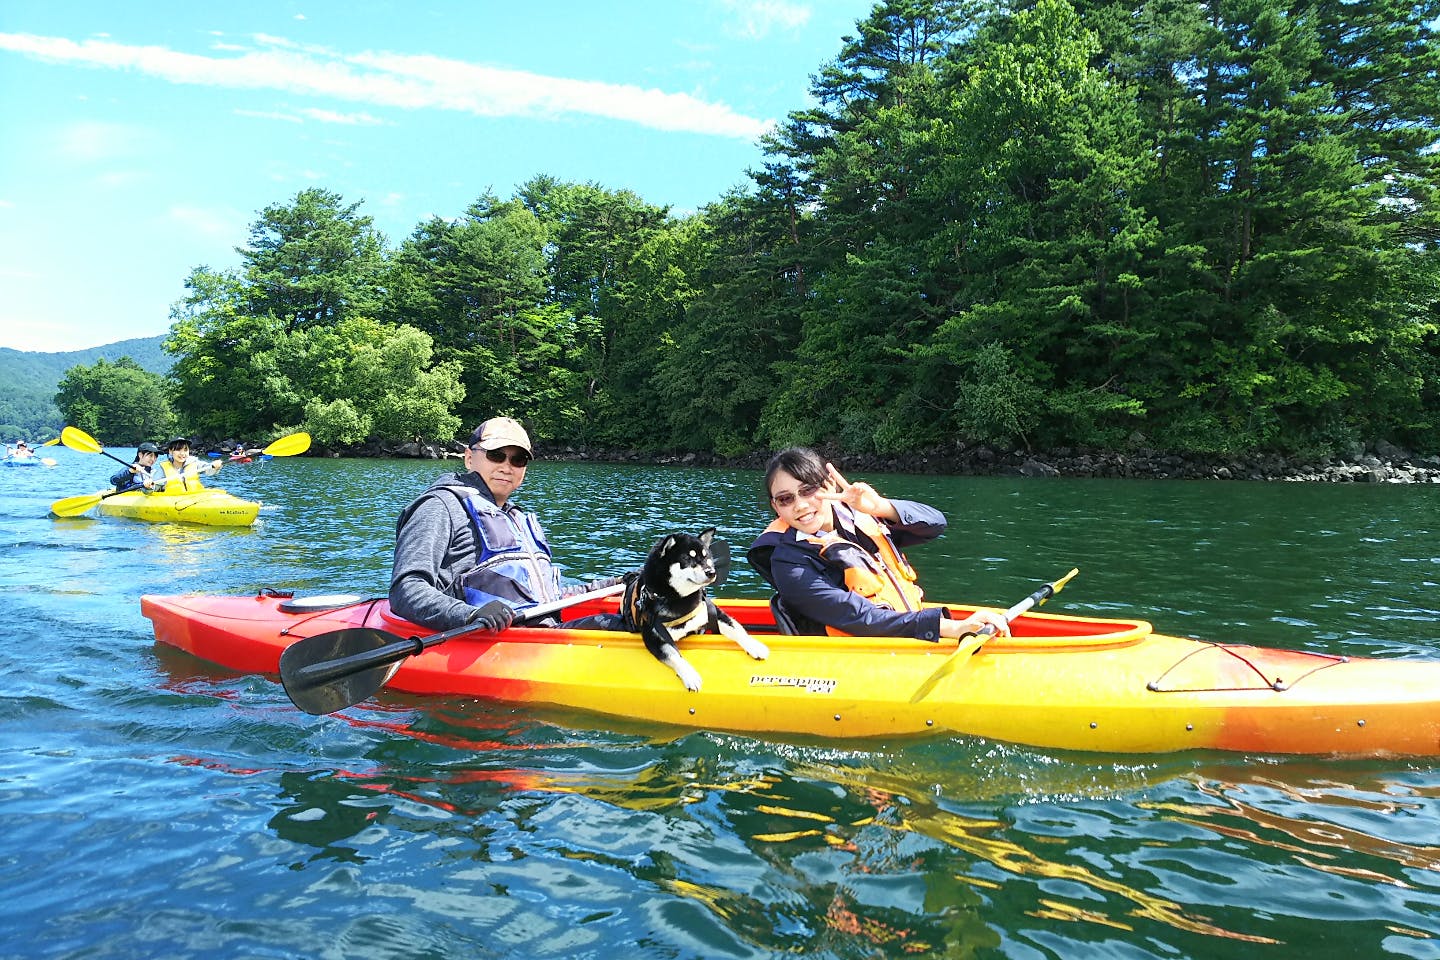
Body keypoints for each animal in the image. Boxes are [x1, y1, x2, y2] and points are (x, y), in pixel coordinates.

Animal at [624, 526, 771, 690]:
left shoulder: (713, 614)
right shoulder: (655, 637)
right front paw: (690, 675)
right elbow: (675, 656)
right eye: (688, 558)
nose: (711, 572)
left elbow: (737, 629)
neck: (680, 599)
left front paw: (755, 646)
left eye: (706, 557)